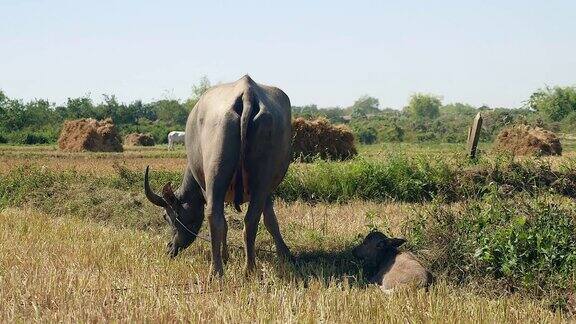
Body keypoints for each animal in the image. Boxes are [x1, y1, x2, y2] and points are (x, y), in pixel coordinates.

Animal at [144, 75, 292, 276]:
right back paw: (249, 269)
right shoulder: (267, 192)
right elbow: (271, 220)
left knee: (215, 216)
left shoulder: (204, 188)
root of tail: (246, 91)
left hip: (214, 176)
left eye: (166, 217)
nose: (170, 248)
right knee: (250, 219)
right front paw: (284, 253)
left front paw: (226, 256)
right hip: (260, 179)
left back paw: (217, 271)